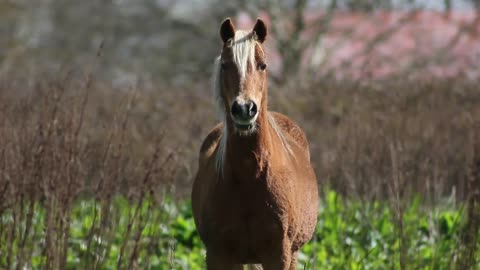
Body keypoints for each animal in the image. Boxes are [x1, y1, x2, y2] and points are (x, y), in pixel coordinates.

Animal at [190, 17, 318, 268]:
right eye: (225, 65)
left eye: (263, 65)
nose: (244, 109)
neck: (250, 174)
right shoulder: (218, 254)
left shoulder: (279, 254)